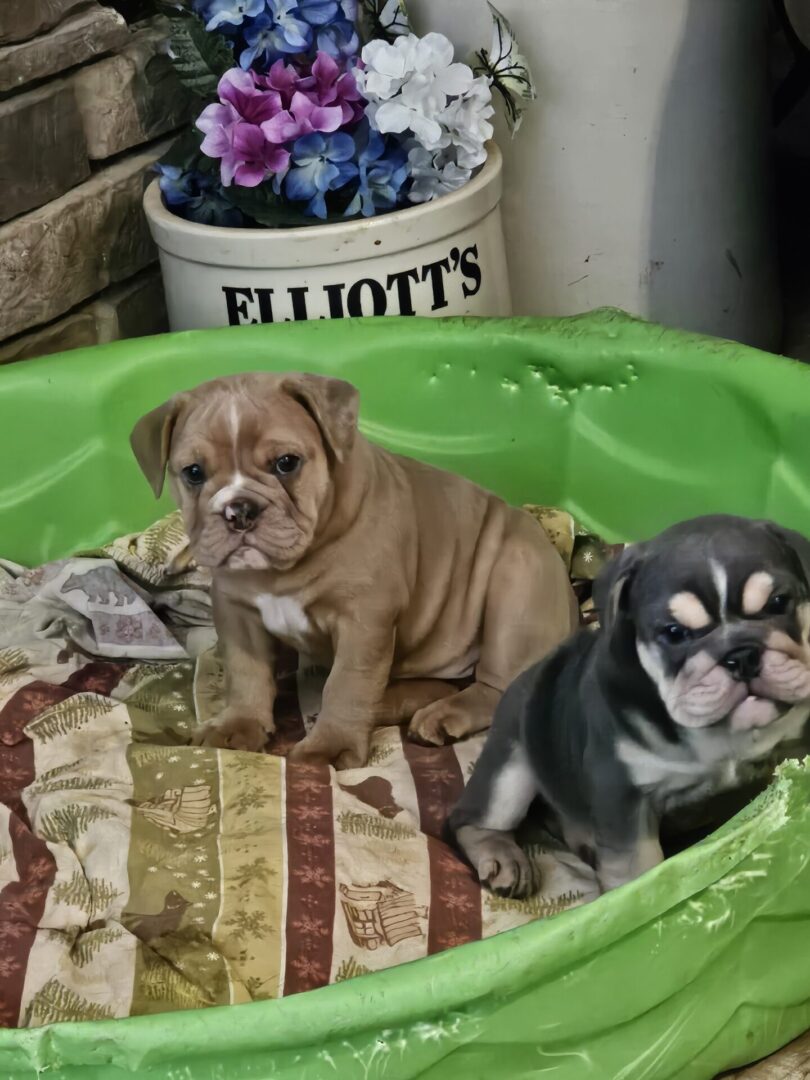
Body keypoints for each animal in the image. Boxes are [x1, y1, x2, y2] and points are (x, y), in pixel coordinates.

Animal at [131, 371, 578, 768]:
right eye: (193, 473)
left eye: (286, 463)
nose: (238, 509)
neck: (283, 570)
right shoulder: (237, 611)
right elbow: (246, 672)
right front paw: (239, 723)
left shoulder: (364, 621)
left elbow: (348, 683)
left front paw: (330, 746)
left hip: (515, 590)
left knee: (496, 688)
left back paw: (442, 715)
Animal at [447, 514, 810, 894]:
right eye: (675, 633)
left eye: (778, 603)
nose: (741, 655)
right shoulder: (622, 796)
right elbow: (636, 869)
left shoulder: (791, 746)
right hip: (510, 766)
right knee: (471, 819)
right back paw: (505, 860)